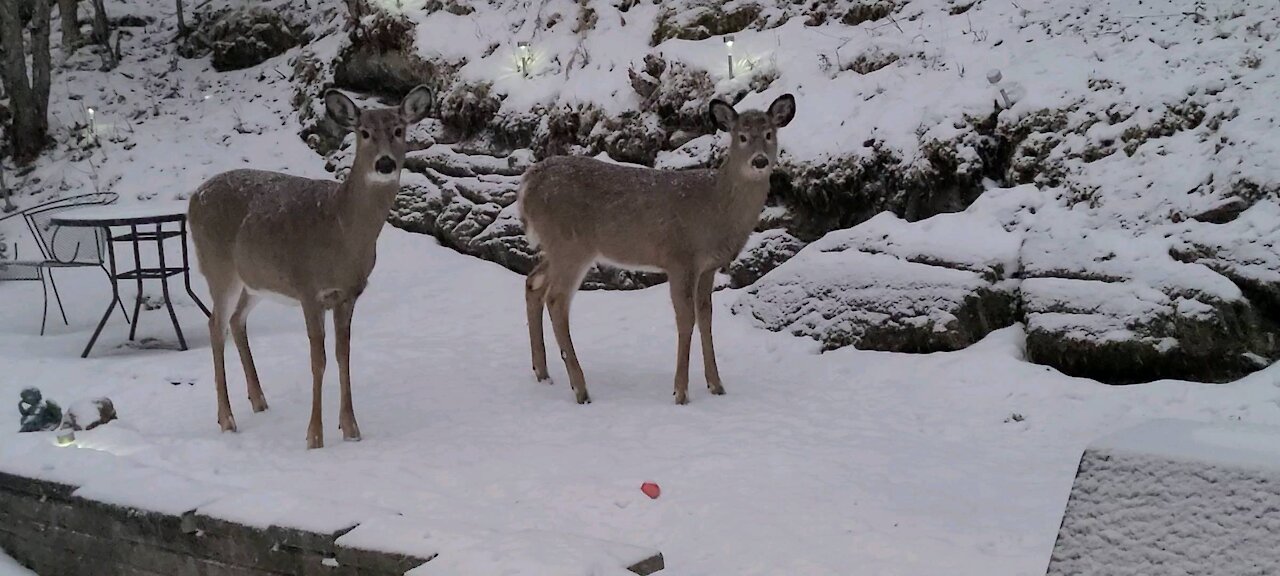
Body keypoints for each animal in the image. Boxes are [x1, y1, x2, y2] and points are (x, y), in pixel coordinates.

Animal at [186, 87, 432, 453]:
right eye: (364, 132)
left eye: (399, 129)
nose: (385, 163)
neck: (342, 230)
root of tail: (193, 198)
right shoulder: (308, 289)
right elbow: (319, 360)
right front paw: (314, 436)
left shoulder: (348, 295)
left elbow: (343, 355)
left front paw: (351, 429)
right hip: (218, 269)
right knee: (215, 325)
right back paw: (227, 419)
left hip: (254, 281)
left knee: (236, 320)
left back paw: (259, 400)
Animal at [517, 92, 793, 404]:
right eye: (742, 137)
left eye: (769, 134)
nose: (759, 161)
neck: (716, 208)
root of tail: (527, 185)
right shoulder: (680, 258)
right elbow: (686, 319)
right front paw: (681, 392)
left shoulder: (707, 266)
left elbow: (706, 317)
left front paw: (716, 385)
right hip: (571, 244)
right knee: (556, 300)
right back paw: (580, 388)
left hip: (556, 247)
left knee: (533, 283)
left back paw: (542, 372)